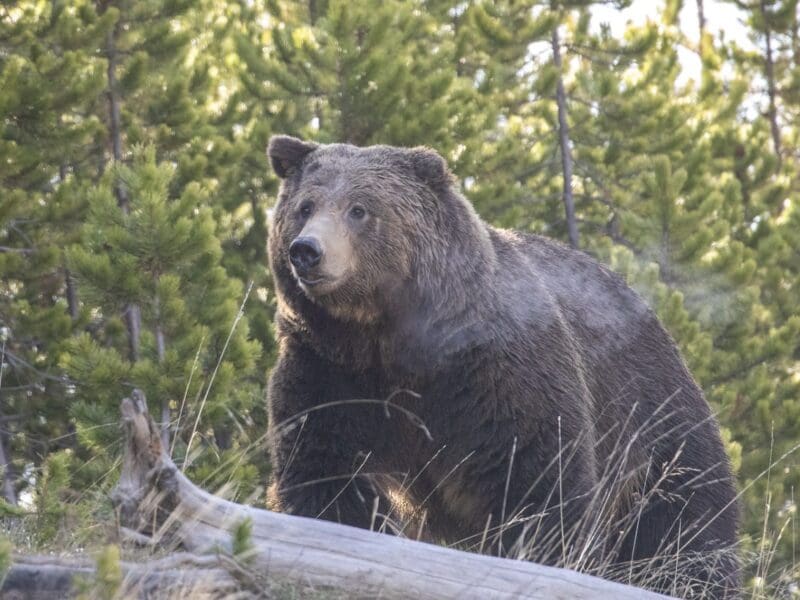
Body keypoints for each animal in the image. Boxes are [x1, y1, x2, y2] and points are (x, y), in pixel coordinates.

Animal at [265, 135, 739, 598]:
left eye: (359, 209)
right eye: (305, 206)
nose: (307, 251)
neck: (387, 339)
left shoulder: (494, 372)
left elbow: (536, 478)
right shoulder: (331, 371)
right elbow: (325, 469)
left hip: (653, 414)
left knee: (686, 520)